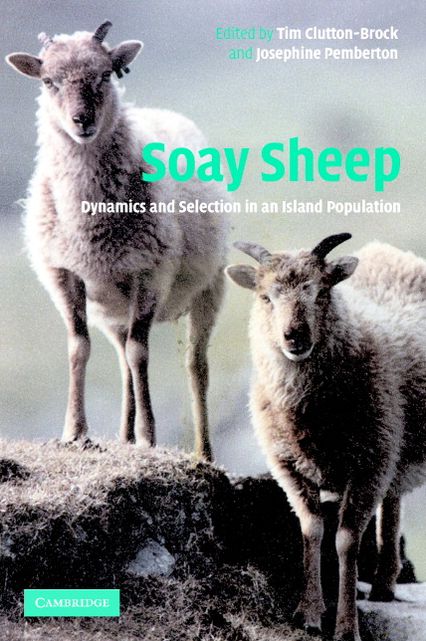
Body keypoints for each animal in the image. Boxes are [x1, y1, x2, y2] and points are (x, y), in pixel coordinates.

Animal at [6, 21, 229, 461]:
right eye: (48, 81)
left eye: (106, 75)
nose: (82, 121)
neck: (90, 224)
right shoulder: (64, 274)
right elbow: (79, 348)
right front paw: (74, 432)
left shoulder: (151, 272)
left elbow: (141, 353)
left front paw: (147, 435)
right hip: (110, 306)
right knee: (123, 360)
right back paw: (123, 436)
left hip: (210, 287)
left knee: (195, 365)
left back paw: (203, 452)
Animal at [226, 233, 426, 641]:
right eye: (265, 297)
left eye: (320, 292)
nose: (295, 336)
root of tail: (387, 251)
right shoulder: (289, 466)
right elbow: (312, 530)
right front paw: (309, 613)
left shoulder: (368, 464)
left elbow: (346, 541)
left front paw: (346, 626)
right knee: (393, 500)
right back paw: (383, 585)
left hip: (388, 441)